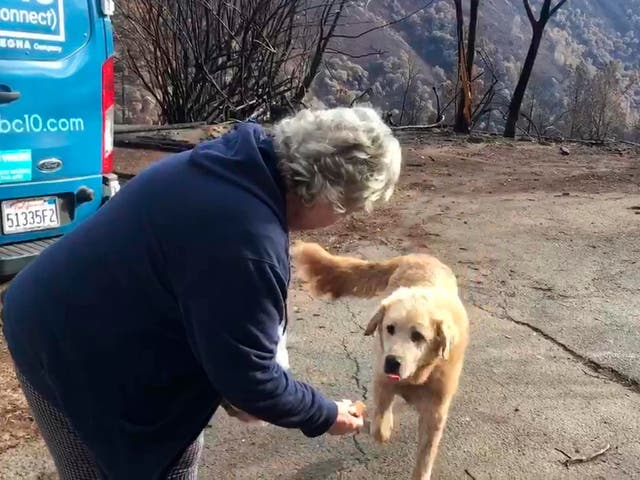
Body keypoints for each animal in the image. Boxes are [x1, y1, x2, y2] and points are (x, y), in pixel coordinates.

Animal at [292, 244, 468, 480]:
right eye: (390, 328)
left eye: (418, 336)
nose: (392, 362)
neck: (416, 376)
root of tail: (418, 256)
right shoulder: (382, 380)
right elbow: (379, 425)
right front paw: (383, 427)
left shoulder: (435, 412)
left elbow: (425, 456)